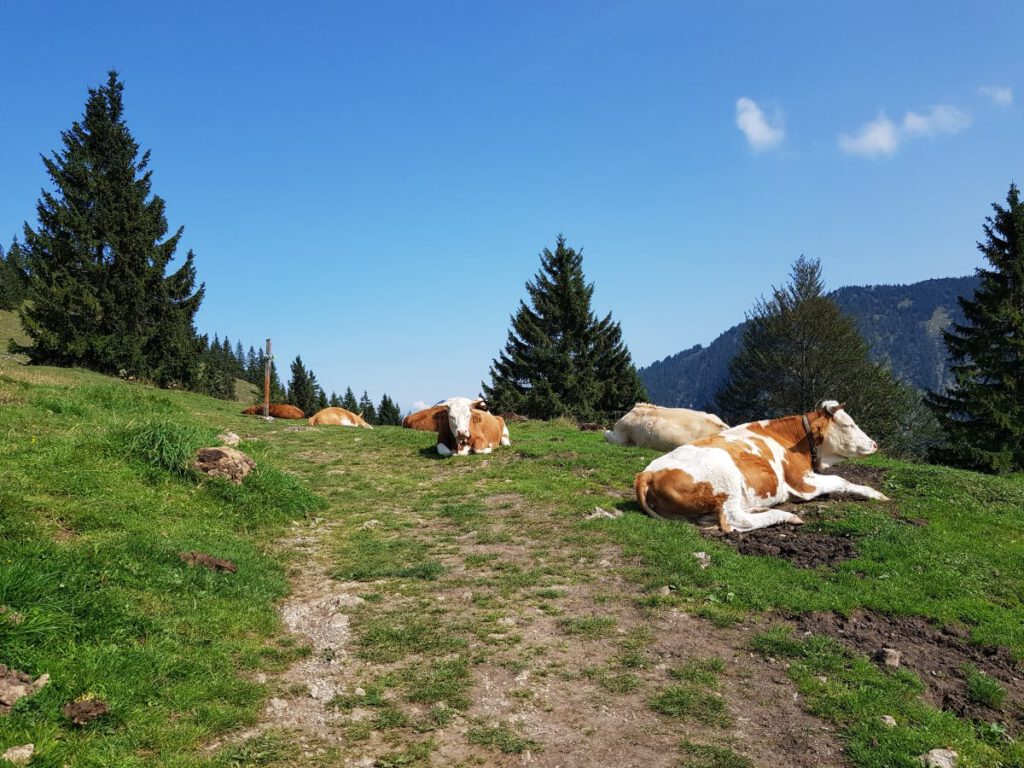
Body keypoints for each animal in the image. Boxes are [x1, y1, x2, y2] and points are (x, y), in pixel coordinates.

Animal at [630, 403, 888, 536]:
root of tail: (647, 473)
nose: (875, 443)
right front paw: (875, 493)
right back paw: (785, 516)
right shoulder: (803, 482)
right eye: (848, 425)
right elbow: (840, 480)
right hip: (726, 478)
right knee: (733, 520)